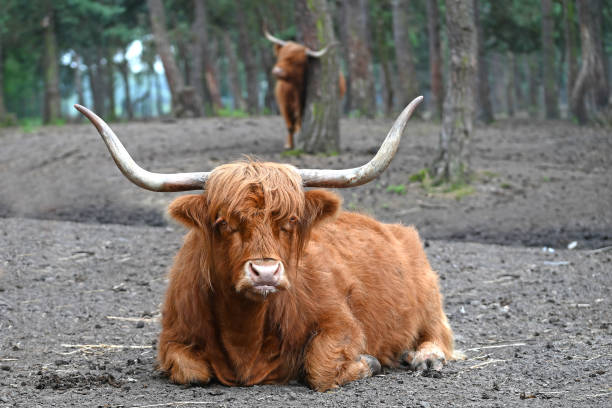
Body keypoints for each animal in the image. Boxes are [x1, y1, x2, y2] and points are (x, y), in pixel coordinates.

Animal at [74, 96, 456, 392]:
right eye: (223, 223)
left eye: (289, 221)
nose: (265, 272)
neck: (246, 335)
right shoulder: (173, 336)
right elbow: (191, 371)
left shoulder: (341, 323)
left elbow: (320, 367)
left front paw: (370, 362)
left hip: (428, 295)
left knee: (438, 331)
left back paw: (425, 357)